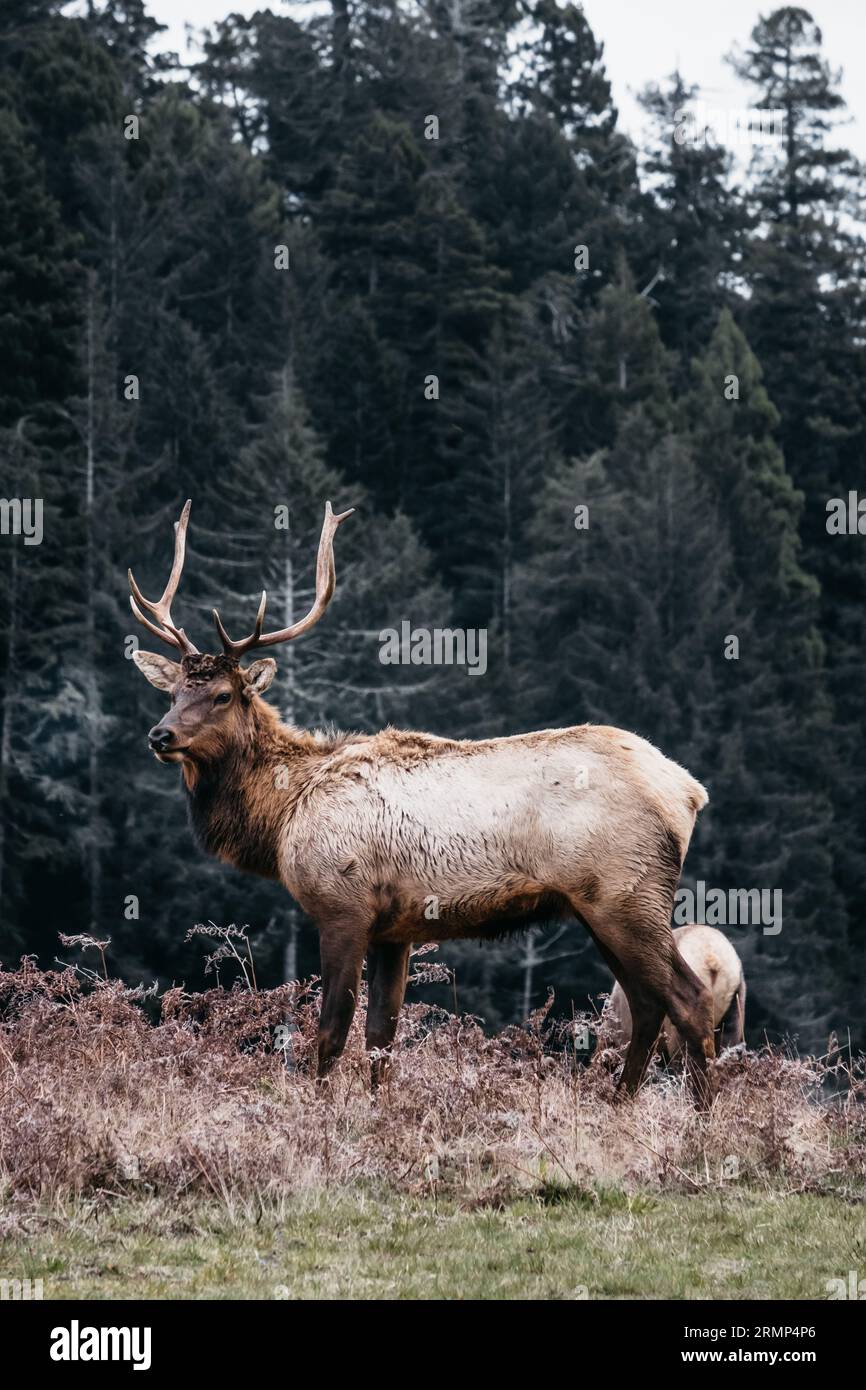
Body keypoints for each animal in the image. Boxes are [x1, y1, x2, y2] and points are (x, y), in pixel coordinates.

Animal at [128, 500, 716, 1102]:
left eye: (223, 695)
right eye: (173, 692)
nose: (160, 735)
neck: (283, 816)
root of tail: (689, 790)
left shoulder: (344, 906)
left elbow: (331, 1032)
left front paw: (319, 1110)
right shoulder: (397, 928)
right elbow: (381, 1036)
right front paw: (378, 1109)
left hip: (626, 894)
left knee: (688, 999)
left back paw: (704, 1112)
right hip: (598, 906)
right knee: (647, 1004)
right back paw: (620, 1104)